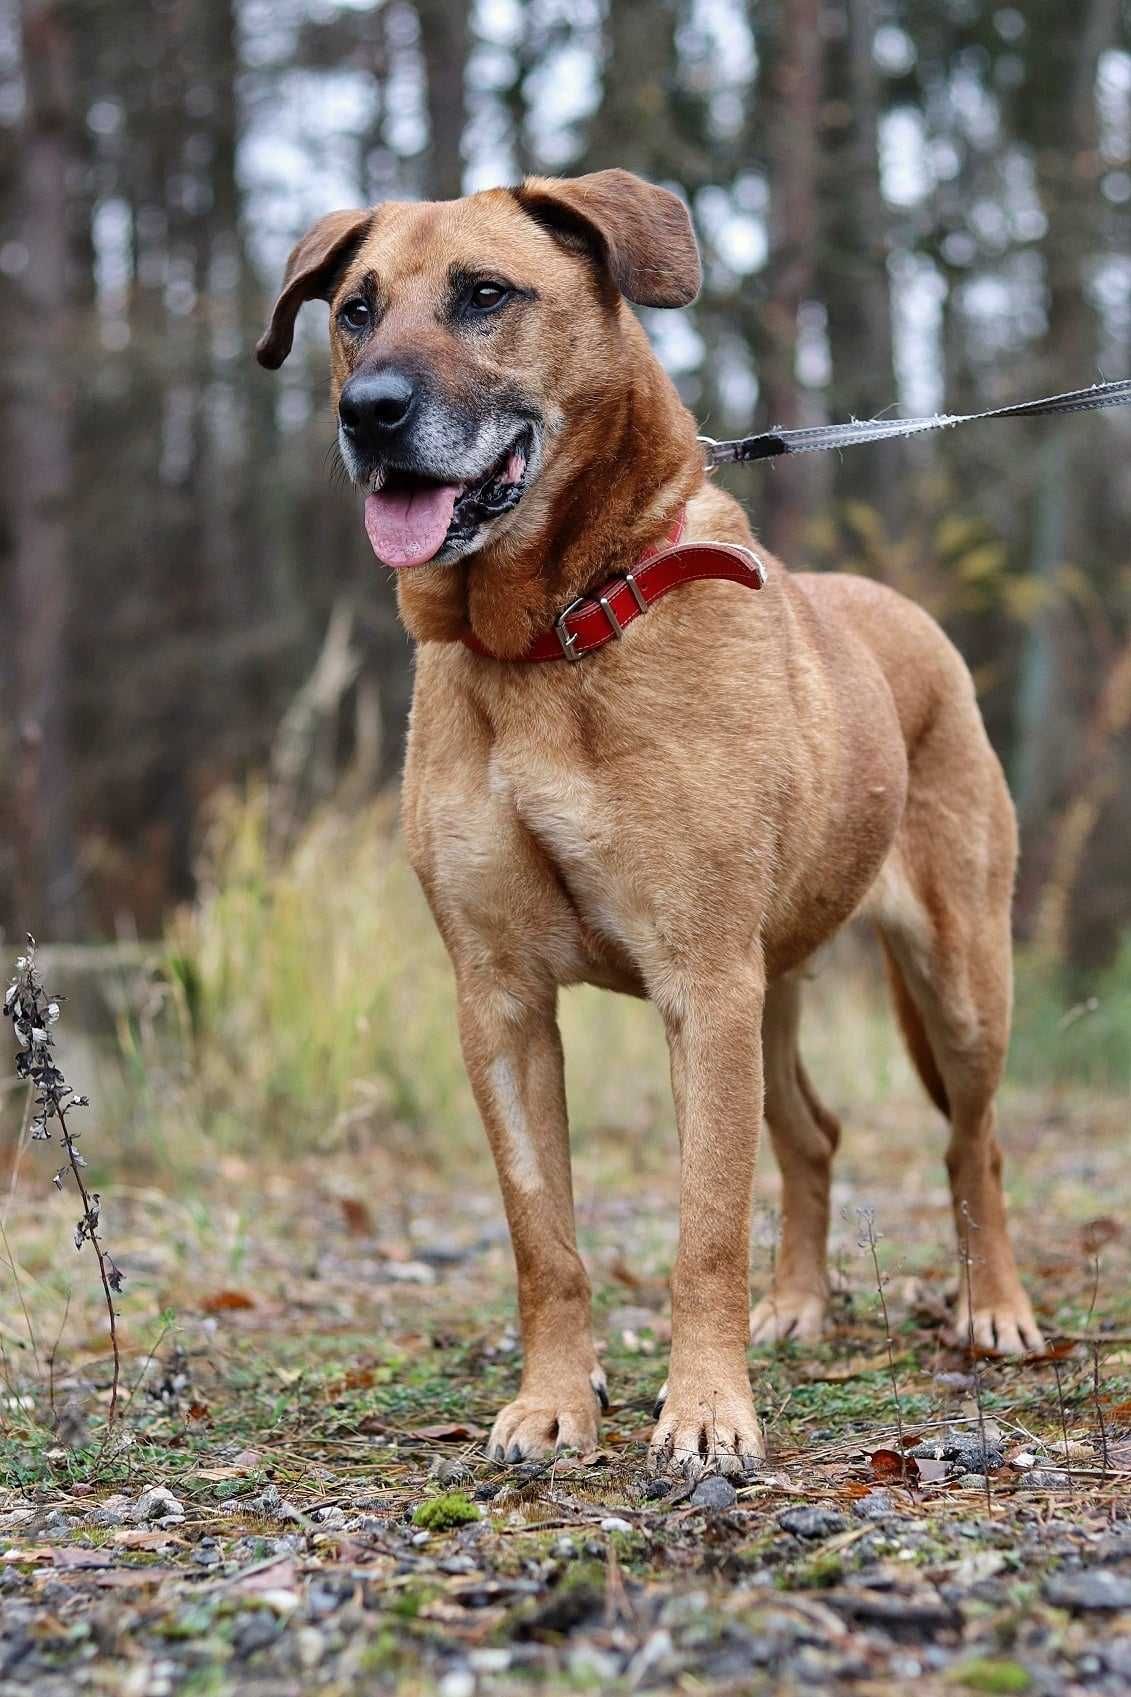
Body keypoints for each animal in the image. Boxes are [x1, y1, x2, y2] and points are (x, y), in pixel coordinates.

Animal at [259, 168, 1046, 1472]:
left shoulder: (701, 981)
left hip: (956, 975)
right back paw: (799, 1303)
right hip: (773, 991)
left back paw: (996, 1308)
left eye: (485, 294)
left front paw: (708, 1411)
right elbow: (544, 1238)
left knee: (972, 1140)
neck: (550, 634)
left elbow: (704, 1226)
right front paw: (554, 1402)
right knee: (814, 1134)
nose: (370, 413)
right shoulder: (503, 1000)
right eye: (357, 310)